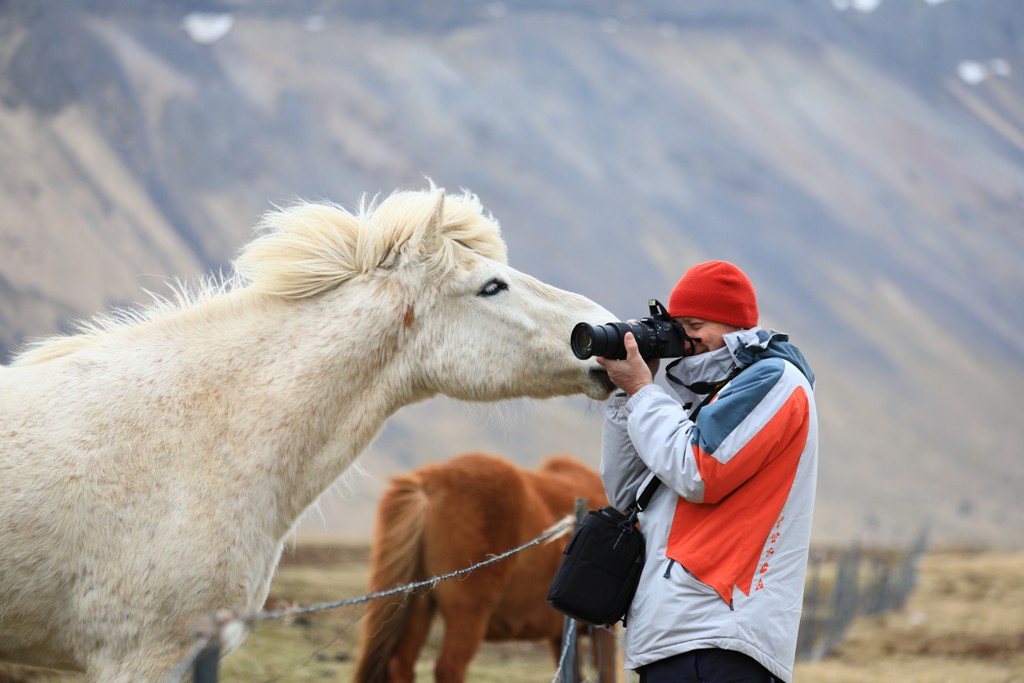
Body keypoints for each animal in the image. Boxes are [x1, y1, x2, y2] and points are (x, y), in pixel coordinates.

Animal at [354, 454, 614, 683]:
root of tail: (430, 482)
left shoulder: (561, 637)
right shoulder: (602, 635)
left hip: (418, 606)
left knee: (401, 666)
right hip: (467, 612)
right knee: (449, 668)